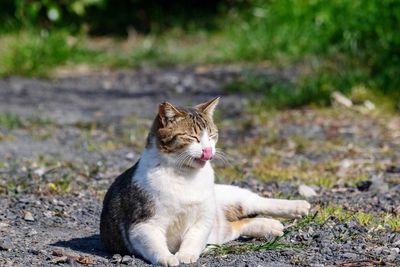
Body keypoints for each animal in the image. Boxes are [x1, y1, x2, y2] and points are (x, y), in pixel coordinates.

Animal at [99, 97, 310, 266]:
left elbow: (193, 239)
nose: (208, 150)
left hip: (231, 197)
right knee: (240, 224)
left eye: (212, 135)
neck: (185, 175)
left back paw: (298, 207)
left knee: (257, 202)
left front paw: (186, 255)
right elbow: (156, 246)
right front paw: (168, 258)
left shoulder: (203, 219)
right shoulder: (143, 225)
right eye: (191, 137)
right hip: (222, 231)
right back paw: (270, 226)